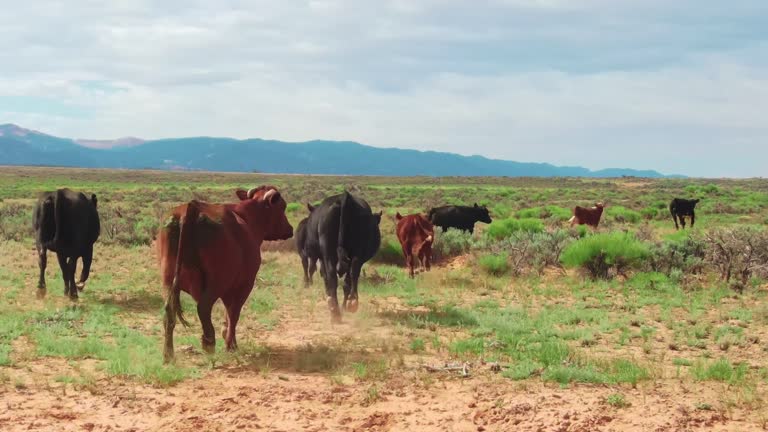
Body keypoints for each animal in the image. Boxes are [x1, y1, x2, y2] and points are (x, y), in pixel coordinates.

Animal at [159, 185, 294, 362]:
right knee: (203, 307)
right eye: (282, 207)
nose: (290, 229)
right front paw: (231, 344)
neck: (246, 218)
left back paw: (169, 355)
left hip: (168, 281)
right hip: (217, 282)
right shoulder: (243, 285)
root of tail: (192, 208)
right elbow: (233, 313)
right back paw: (209, 342)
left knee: (170, 311)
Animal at [304, 191, 380, 322]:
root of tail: (344, 197)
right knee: (351, 274)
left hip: (329, 251)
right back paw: (350, 303)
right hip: (355, 252)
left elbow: (325, 276)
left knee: (333, 277)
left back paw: (336, 309)